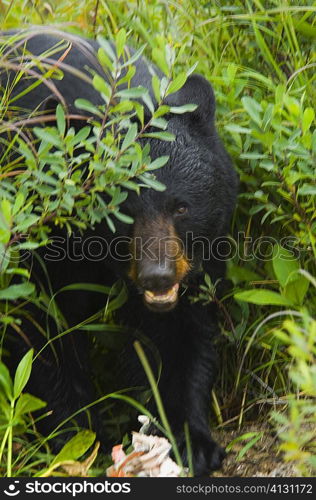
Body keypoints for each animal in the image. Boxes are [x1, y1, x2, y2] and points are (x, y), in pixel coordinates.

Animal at [0, 28, 237, 476]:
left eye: (180, 207)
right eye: (120, 212)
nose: (158, 276)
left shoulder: (201, 250)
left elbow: (177, 333)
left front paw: (191, 441)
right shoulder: (37, 234)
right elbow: (41, 327)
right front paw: (78, 437)